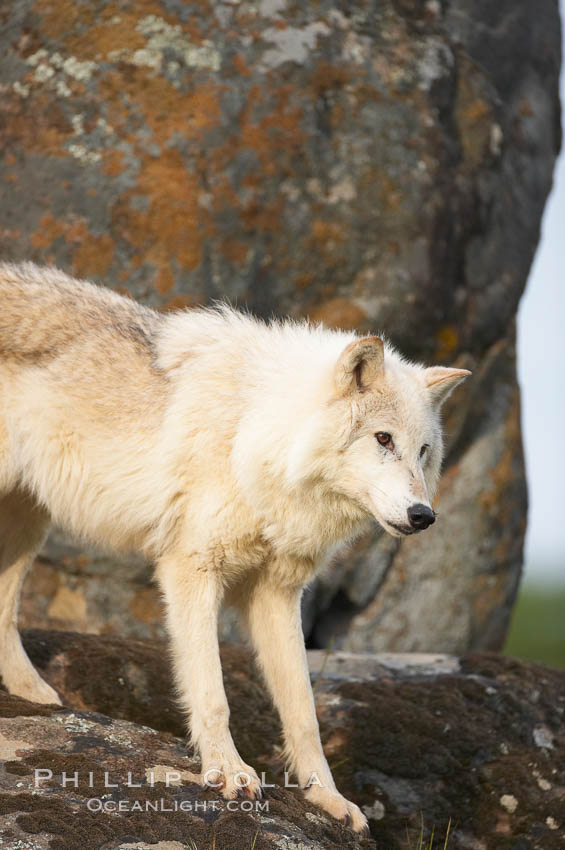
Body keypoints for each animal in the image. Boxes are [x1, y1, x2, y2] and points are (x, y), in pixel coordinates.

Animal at [0, 262, 469, 832]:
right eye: (383, 439)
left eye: (423, 452)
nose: (423, 516)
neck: (257, 437)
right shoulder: (192, 571)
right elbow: (213, 694)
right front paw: (228, 772)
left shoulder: (277, 595)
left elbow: (304, 714)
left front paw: (328, 800)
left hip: (30, 522)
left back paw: (35, 695)